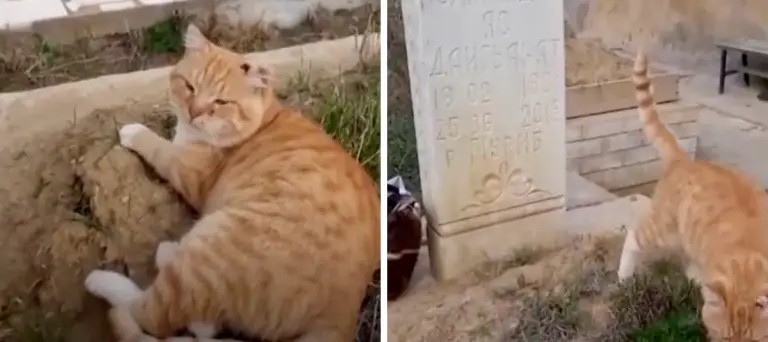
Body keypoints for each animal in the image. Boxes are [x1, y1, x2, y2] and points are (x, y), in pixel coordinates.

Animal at [83, 24, 380, 342]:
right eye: (190, 87)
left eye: (220, 103)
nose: (194, 112)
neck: (262, 122)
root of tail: (344, 311)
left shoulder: (187, 172)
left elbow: (160, 148)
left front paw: (135, 132)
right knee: (201, 325)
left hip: (209, 255)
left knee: (152, 316)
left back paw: (105, 282)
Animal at [616, 51, 768, 342]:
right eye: (726, 338)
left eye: (753, 341)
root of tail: (683, 160)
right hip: (663, 230)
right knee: (633, 236)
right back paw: (623, 276)